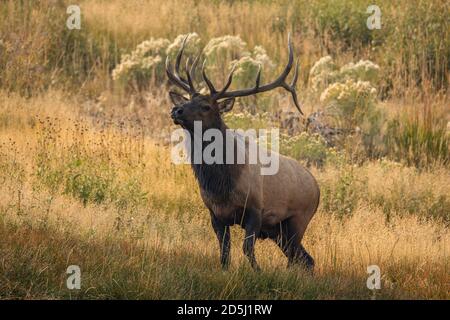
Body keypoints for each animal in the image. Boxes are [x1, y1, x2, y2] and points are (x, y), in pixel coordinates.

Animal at [166, 34, 320, 270]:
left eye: (207, 106)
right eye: (188, 100)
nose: (176, 110)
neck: (221, 185)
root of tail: (317, 188)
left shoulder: (256, 209)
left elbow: (247, 248)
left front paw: (258, 272)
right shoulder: (215, 214)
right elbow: (224, 252)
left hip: (298, 219)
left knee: (298, 258)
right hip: (279, 231)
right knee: (306, 259)